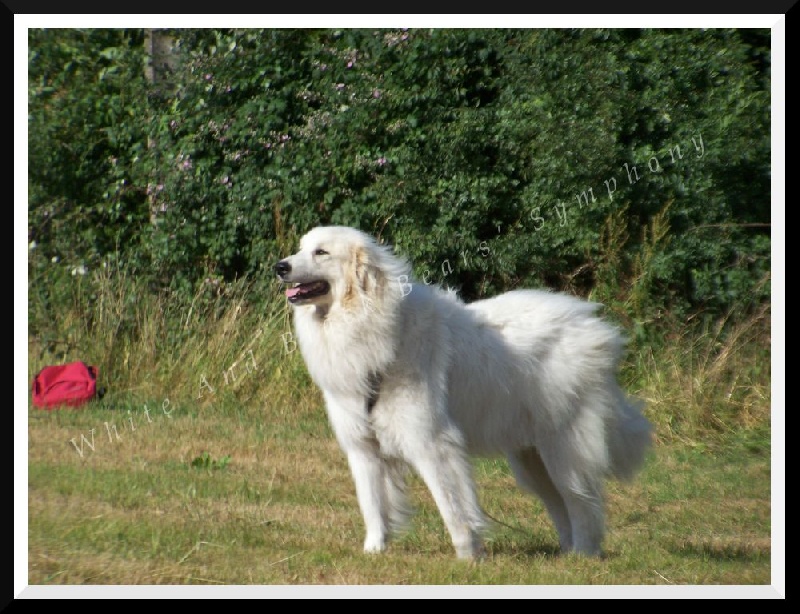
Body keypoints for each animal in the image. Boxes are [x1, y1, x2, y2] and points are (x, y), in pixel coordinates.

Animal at [278, 227, 652, 564]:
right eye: (300, 248)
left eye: (321, 252)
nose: (279, 266)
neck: (372, 323)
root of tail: (596, 330)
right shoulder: (362, 447)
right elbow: (372, 506)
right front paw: (374, 552)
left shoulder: (432, 443)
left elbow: (452, 506)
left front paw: (468, 558)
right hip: (532, 460)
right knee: (560, 505)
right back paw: (567, 556)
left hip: (563, 451)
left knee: (582, 504)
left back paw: (583, 558)